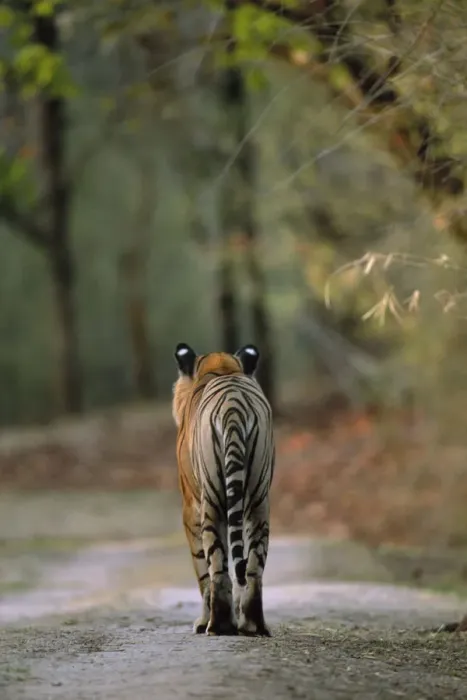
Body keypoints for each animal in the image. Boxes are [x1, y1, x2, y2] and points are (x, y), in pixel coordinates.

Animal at [172, 342, 275, 636]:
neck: (220, 366)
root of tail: (233, 405)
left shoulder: (190, 507)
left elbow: (201, 568)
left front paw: (201, 621)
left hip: (212, 501)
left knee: (216, 565)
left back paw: (217, 625)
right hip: (258, 500)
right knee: (253, 566)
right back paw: (252, 625)